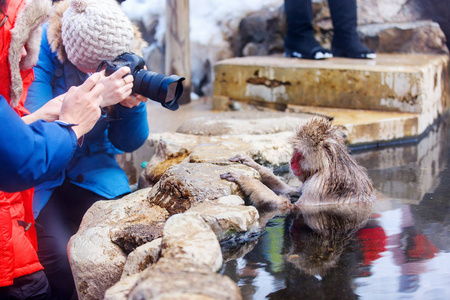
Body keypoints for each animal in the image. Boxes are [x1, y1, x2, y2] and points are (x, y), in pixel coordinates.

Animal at [221, 115, 372, 211]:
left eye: (299, 153)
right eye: (294, 150)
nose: (291, 161)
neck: (327, 165)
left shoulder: (319, 184)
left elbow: (290, 206)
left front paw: (246, 180)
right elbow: (291, 191)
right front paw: (251, 163)